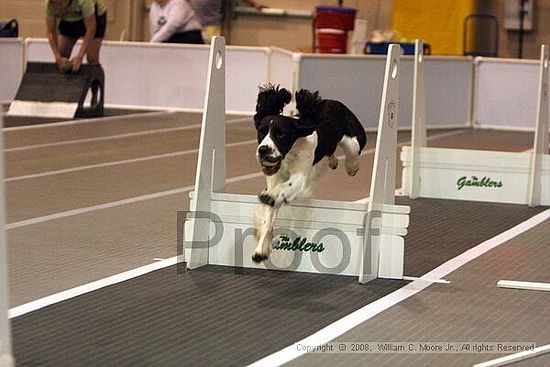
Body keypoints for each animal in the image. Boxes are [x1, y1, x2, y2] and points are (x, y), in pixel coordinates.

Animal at [253, 85, 366, 264]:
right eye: (261, 132)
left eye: (280, 134)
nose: (263, 150)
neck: (290, 154)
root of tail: (334, 101)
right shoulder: (274, 179)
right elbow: (268, 218)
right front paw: (261, 250)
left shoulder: (300, 177)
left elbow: (284, 188)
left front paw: (269, 196)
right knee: (331, 151)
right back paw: (333, 161)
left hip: (353, 138)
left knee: (353, 149)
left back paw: (351, 167)